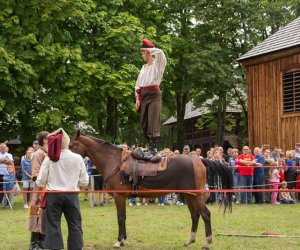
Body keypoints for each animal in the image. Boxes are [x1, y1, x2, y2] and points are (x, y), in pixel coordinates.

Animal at [69, 132, 232, 249]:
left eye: (71, 145)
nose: (64, 153)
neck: (114, 161)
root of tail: (199, 160)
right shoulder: (122, 198)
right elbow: (124, 218)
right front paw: (123, 240)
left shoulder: (119, 197)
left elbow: (120, 218)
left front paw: (119, 241)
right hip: (189, 196)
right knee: (195, 215)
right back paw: (189, 240)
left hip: (196, 196)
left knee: (205, 214)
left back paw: (206, 242)